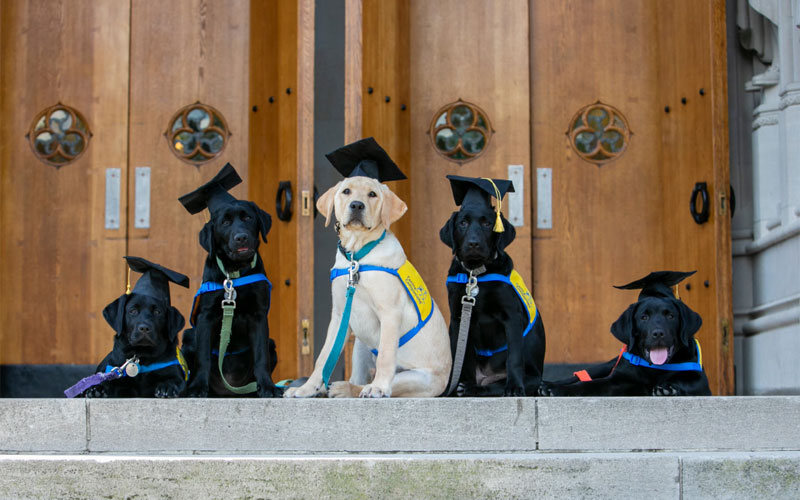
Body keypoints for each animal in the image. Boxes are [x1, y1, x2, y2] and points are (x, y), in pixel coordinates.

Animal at [86, 258, 191, 398]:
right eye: (133, 311)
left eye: (157, 312)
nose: (144, 328)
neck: (141, 358)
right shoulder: (118, 376)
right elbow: (110, 384)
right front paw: (98, 389)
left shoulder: (175, 374)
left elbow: (174, 381)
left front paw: (167, 387)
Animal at [179, 164, 282, 398]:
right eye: (225, 223)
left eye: (248, 218)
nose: (241, 237)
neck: (234, 274)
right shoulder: (206, 316)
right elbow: (204, 357)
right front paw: (197, 388)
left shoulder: (258, 316)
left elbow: (260, 357)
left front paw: (268, 386)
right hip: (189, 335)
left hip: (272, 343)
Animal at [286, 176, 450, 398]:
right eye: (346, 191)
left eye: (372, 194)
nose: (357, 205)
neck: (357, 256)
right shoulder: (339, 315)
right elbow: (323, 358)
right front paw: (306, 389)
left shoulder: (390, 312)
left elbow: (385, 357)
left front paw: (378, 387)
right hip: (360, 345)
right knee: (358, 378)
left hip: (416, 378)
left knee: (370, 384)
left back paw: (347, 388)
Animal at [440, 174, 548, 396]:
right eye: (463, 223)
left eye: (487, 223)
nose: (473, 243)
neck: (476, 274)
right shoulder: (457, 318)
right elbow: (458, 356)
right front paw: (452, 388)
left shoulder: (511, 317)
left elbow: (514, 357)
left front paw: (514, 387)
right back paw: (462, 387)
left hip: (530, 376)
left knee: (494, 386)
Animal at [540, 272, 708, 396]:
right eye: (644, 317)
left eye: (671, 316)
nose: (658, 333)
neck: (654, 368)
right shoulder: (616, 380)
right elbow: (587, 384)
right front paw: (556, 389)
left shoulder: (700, 381)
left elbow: (686, 382)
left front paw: (668, 388)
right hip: (605, 366)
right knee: (579, 375)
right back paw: (547, 384)